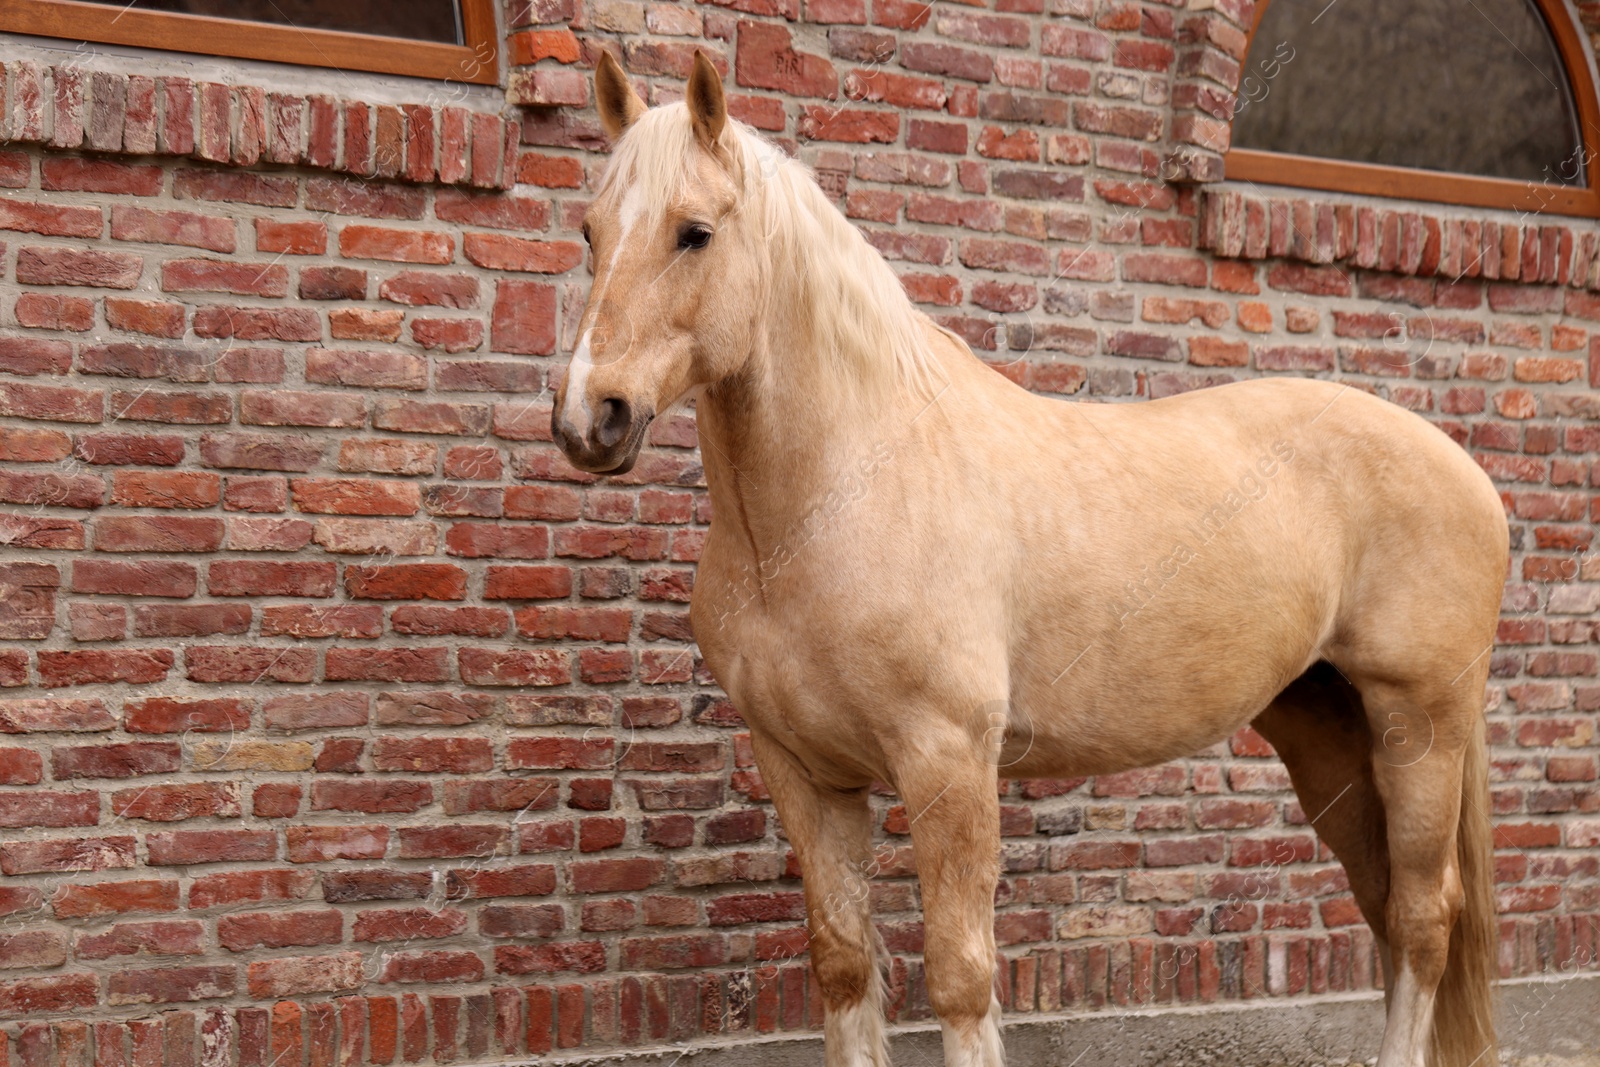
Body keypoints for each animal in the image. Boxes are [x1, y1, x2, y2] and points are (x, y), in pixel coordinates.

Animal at [556, 54, 1504, 1067]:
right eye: (591, 230)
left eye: (695, 232)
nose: (589, 418)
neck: (845, 491)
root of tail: (1470, 476)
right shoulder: (802, 770)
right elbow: (844, 965)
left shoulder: (948, 761)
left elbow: (960, 978)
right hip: (1325, 730)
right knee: (1385, 904)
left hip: (1419, 724)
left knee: (1422, 917)